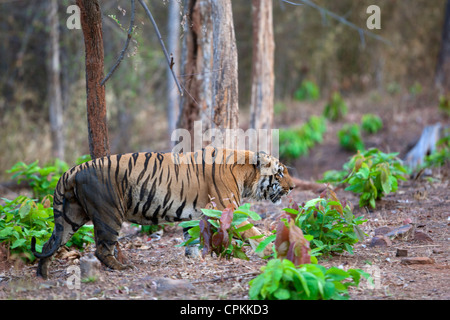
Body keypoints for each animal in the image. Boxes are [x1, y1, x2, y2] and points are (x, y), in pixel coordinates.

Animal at [29, 147, 294, 278]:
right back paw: (122, 268)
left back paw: (43, 275)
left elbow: (192, 238)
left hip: (70, 216)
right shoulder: (226, 211)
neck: (246, 174)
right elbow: (253, 231)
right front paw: (270, 250)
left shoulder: (197, 214)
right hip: (109, 214)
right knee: (101, 249)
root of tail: (73, 170)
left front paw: (193, 259)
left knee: (48, 244)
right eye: (280, 172)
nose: (293, 187)